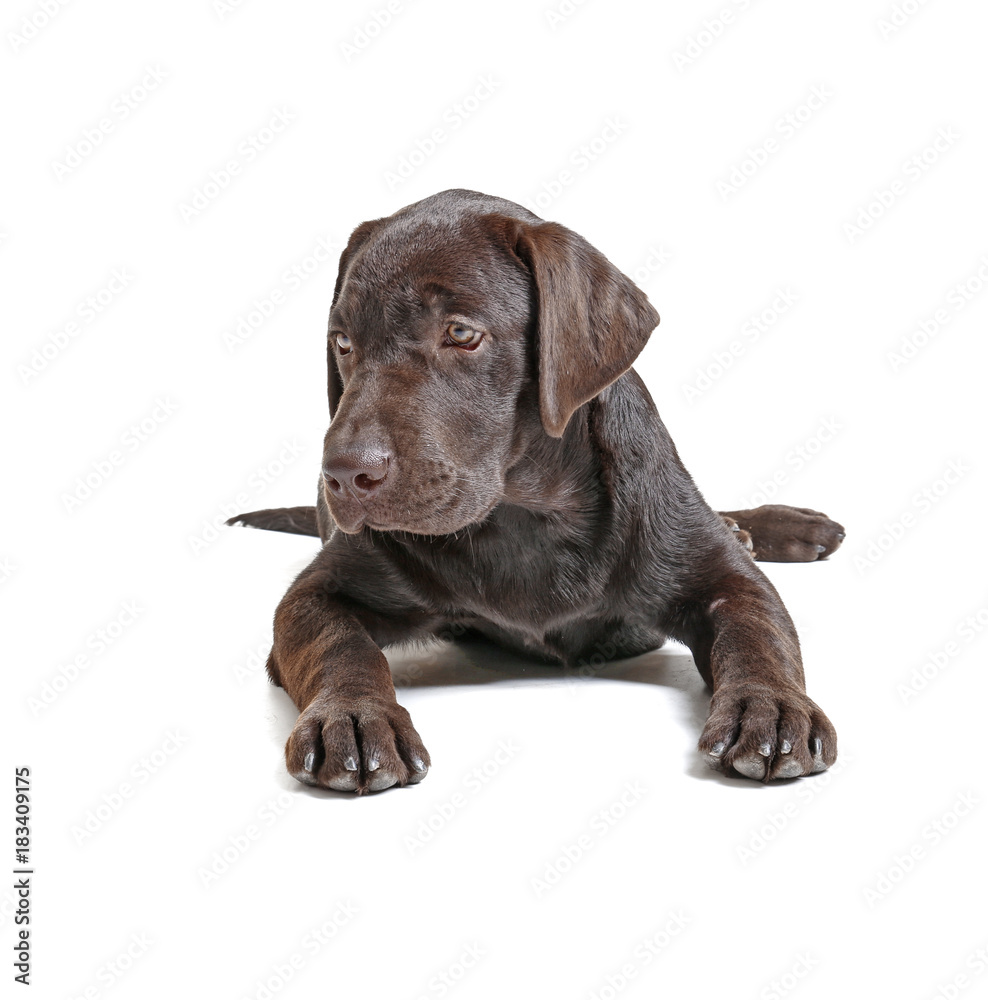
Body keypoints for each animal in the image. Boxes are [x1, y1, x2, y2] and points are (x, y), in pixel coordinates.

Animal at [228, 191, 844, 792]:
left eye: (460, 333)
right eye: (343, 342)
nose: (342, 474)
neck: (527, 515)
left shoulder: (722, 577)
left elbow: (759, 636)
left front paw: (770, 707)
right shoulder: (320, 593)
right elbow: (340, 647)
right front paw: (353, 715)